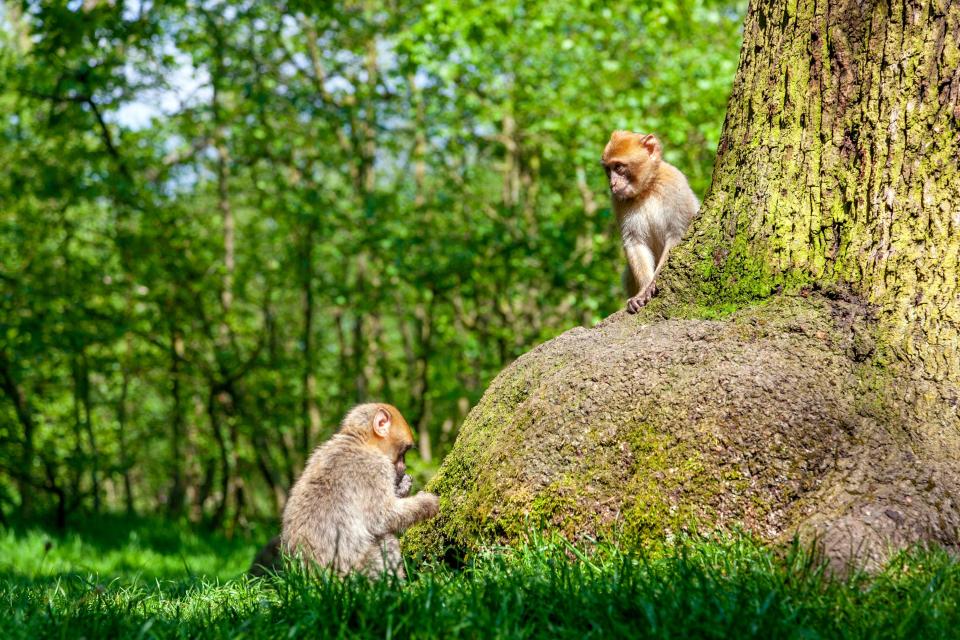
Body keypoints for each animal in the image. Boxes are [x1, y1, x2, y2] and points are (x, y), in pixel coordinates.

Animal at [600, 130, 696, 312]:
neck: (646, 189)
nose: (612, 184)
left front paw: (653, 283)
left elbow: (676, 234)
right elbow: (635, 241)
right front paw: (643, 290)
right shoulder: (617, 201)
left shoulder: (675, 184)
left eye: (618, 167)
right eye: (608, 169)